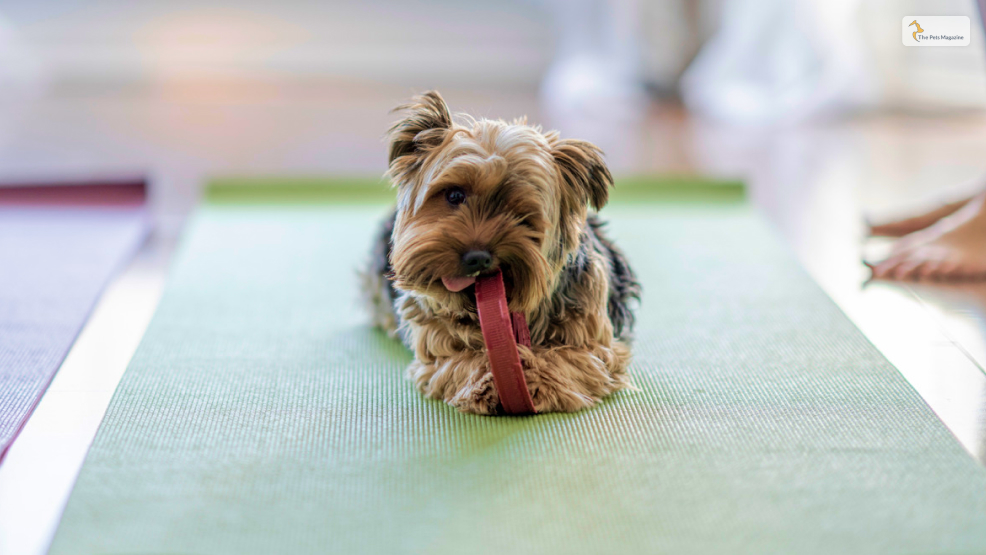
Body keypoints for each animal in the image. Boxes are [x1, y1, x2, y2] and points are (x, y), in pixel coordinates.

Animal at [362, 91, 640, 414]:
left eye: (521, 216)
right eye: (454, 195)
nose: (477, 258)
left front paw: (538, 378)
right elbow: (455, 361)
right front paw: (485, 380)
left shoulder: (597, 342)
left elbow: (574, 358)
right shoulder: (434, 345)